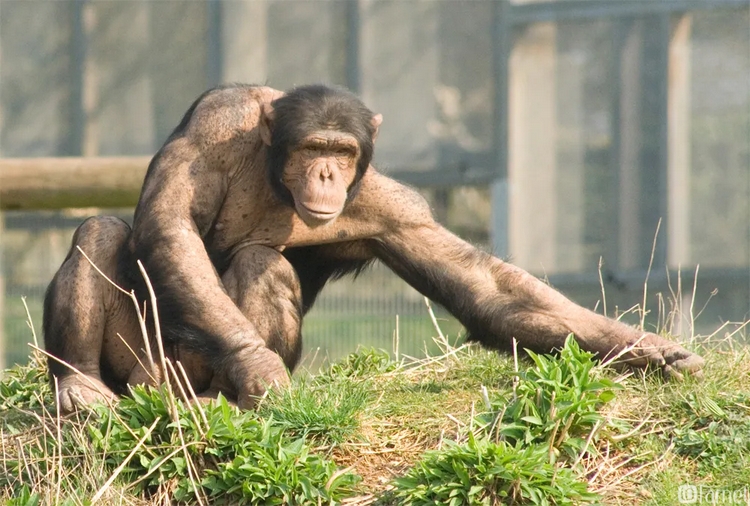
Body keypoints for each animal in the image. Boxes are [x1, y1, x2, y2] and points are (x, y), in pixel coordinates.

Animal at [42, 85, 704, 414]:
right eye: (313, 147)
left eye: (343, 150)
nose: (327, 173)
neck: (274, 172)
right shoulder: (213, 124)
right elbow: (170, 228)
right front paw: (257, 365)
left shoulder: (394, 209)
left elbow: (486, 290)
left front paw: (644, 349)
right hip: (140, 364)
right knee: (99, 233)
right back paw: (80, 386)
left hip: (181, 372)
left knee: (261, 262)